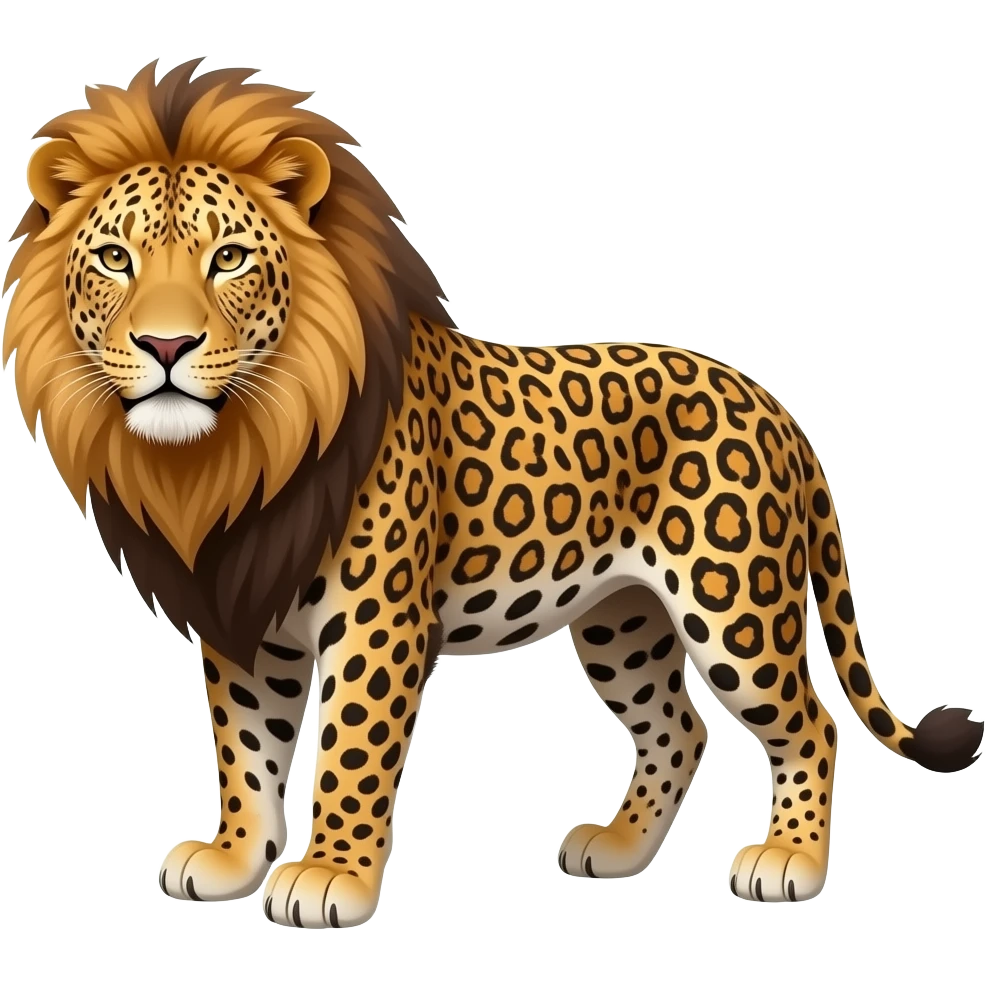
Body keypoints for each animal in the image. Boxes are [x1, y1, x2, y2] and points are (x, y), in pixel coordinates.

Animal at [2, 56, 982, 928]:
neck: (227, 457)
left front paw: (330, 877)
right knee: (678, 728)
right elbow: (245, 746)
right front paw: (235, 858)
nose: (166, 347)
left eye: (231, 258)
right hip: (621, 618)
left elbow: (352, 745)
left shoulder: (376, 616)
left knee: (810, 723)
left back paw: (790, 863)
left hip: (731, 602)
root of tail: (773, 405)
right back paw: (618, 848)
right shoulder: (247, 614)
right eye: (116, 259)